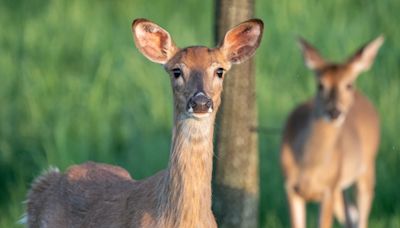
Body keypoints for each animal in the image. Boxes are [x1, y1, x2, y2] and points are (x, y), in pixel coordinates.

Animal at [280, 35, 382, 228]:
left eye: (348, 84)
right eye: (320, 85)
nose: (334, 112)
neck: (310, 166)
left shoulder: (328, 189)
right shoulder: (290, 187)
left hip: (366, 169)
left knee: (361, 217)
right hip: (341, 187)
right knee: (352, 216)